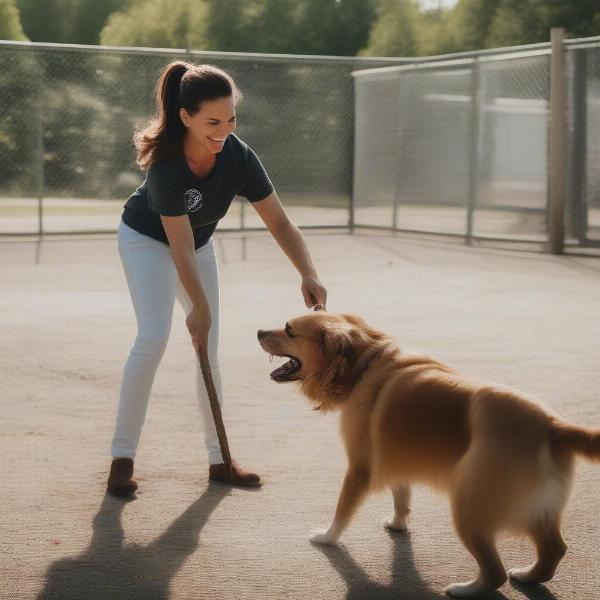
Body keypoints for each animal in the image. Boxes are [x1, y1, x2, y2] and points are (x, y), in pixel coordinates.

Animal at [256, 310, 600, 596]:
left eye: (289, 329)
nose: (258, 331)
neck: (365, 364)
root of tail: (553, 426)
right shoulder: (395, 456)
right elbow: (401, 494)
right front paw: (398, 524)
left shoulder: (359, 468)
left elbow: (342, 511)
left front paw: (327, 537)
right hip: (538, 509)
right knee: (555, 548)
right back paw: (529, 576)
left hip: (469, 509)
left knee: (495, 572)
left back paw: (465, 590)